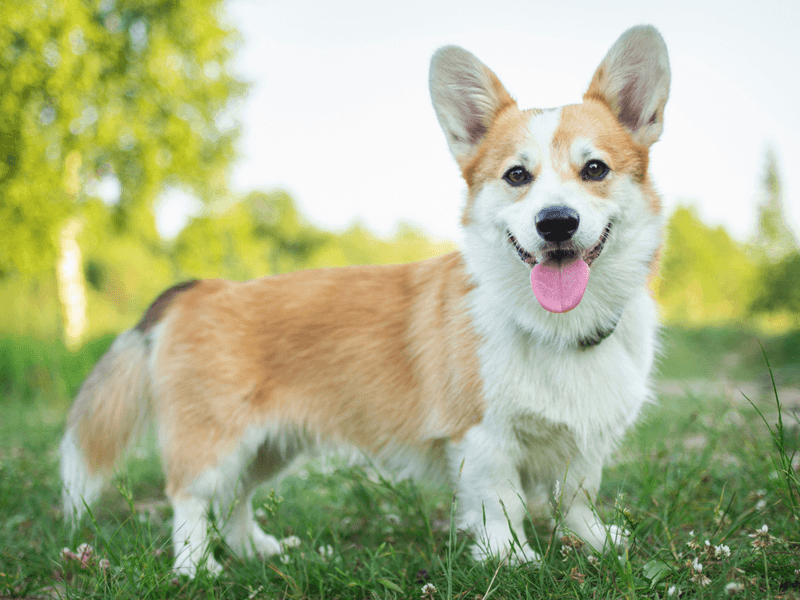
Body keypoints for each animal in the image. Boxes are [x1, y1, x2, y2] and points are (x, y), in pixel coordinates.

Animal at [61, 27, 668, 576]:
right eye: (517, 175)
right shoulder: (483, 438)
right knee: (188, 498)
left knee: (237, 499)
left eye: (595, 169)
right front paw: (512, 559)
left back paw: (257, 549)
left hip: (270, 446)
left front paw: (596, 542)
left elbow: (578, 497)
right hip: (216, 443)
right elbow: (503, 505)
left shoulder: (587, 444)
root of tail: (201, 290)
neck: (557, 327)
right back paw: (196, 568)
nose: (556, 222)